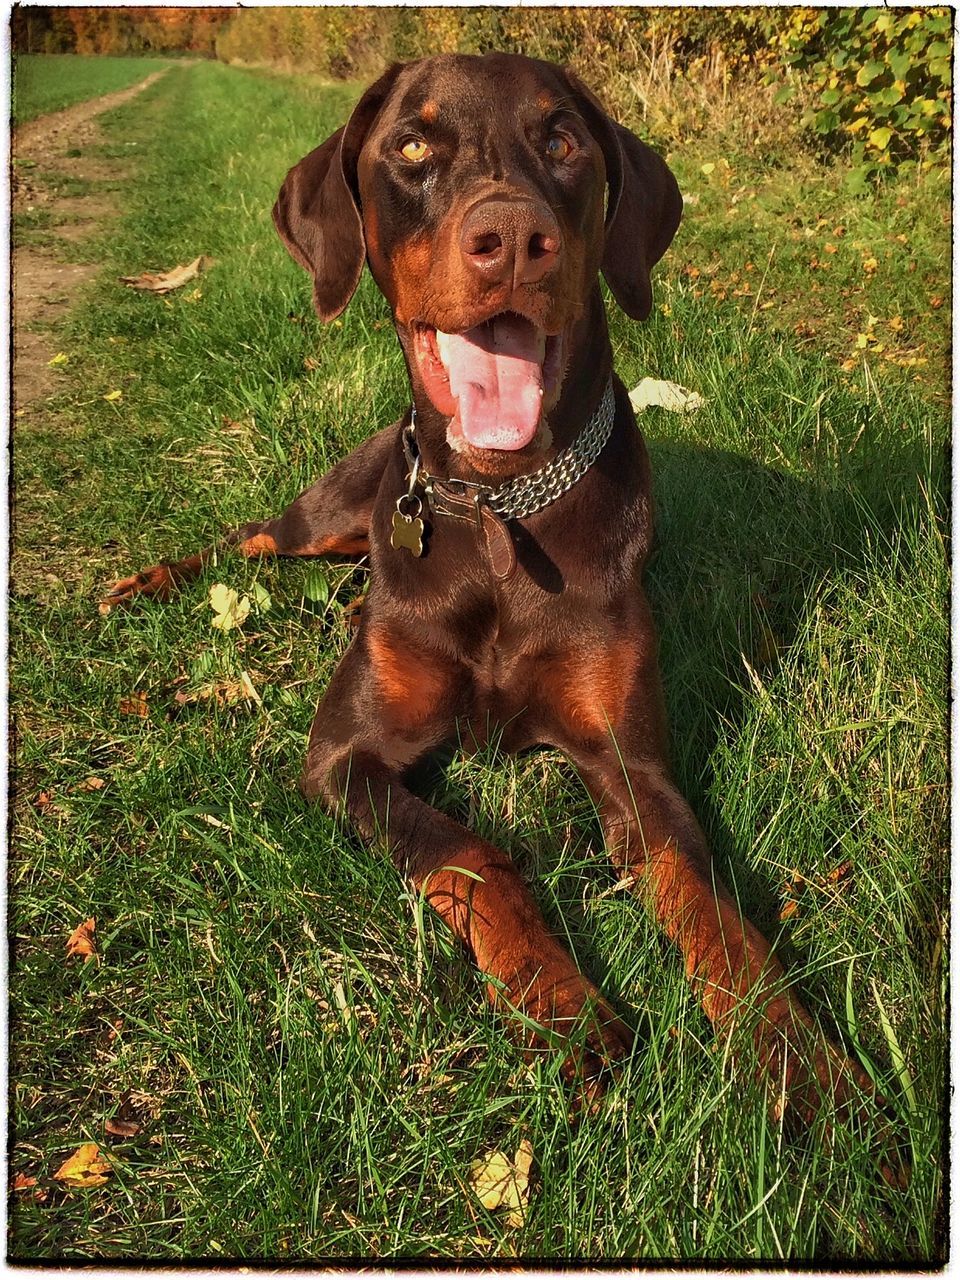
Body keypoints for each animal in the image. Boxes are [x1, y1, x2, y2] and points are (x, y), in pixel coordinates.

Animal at [108, 55, 901, 1162]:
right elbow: (471, 852)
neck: (494, 512)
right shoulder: (343, 758)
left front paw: (800, 1061)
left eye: (563, 139)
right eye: (410, 144)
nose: (514, 239)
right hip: (329, 511)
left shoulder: (633, 766)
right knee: (254, 540)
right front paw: (560, 1002)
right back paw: (144, 581)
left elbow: (710, 907)